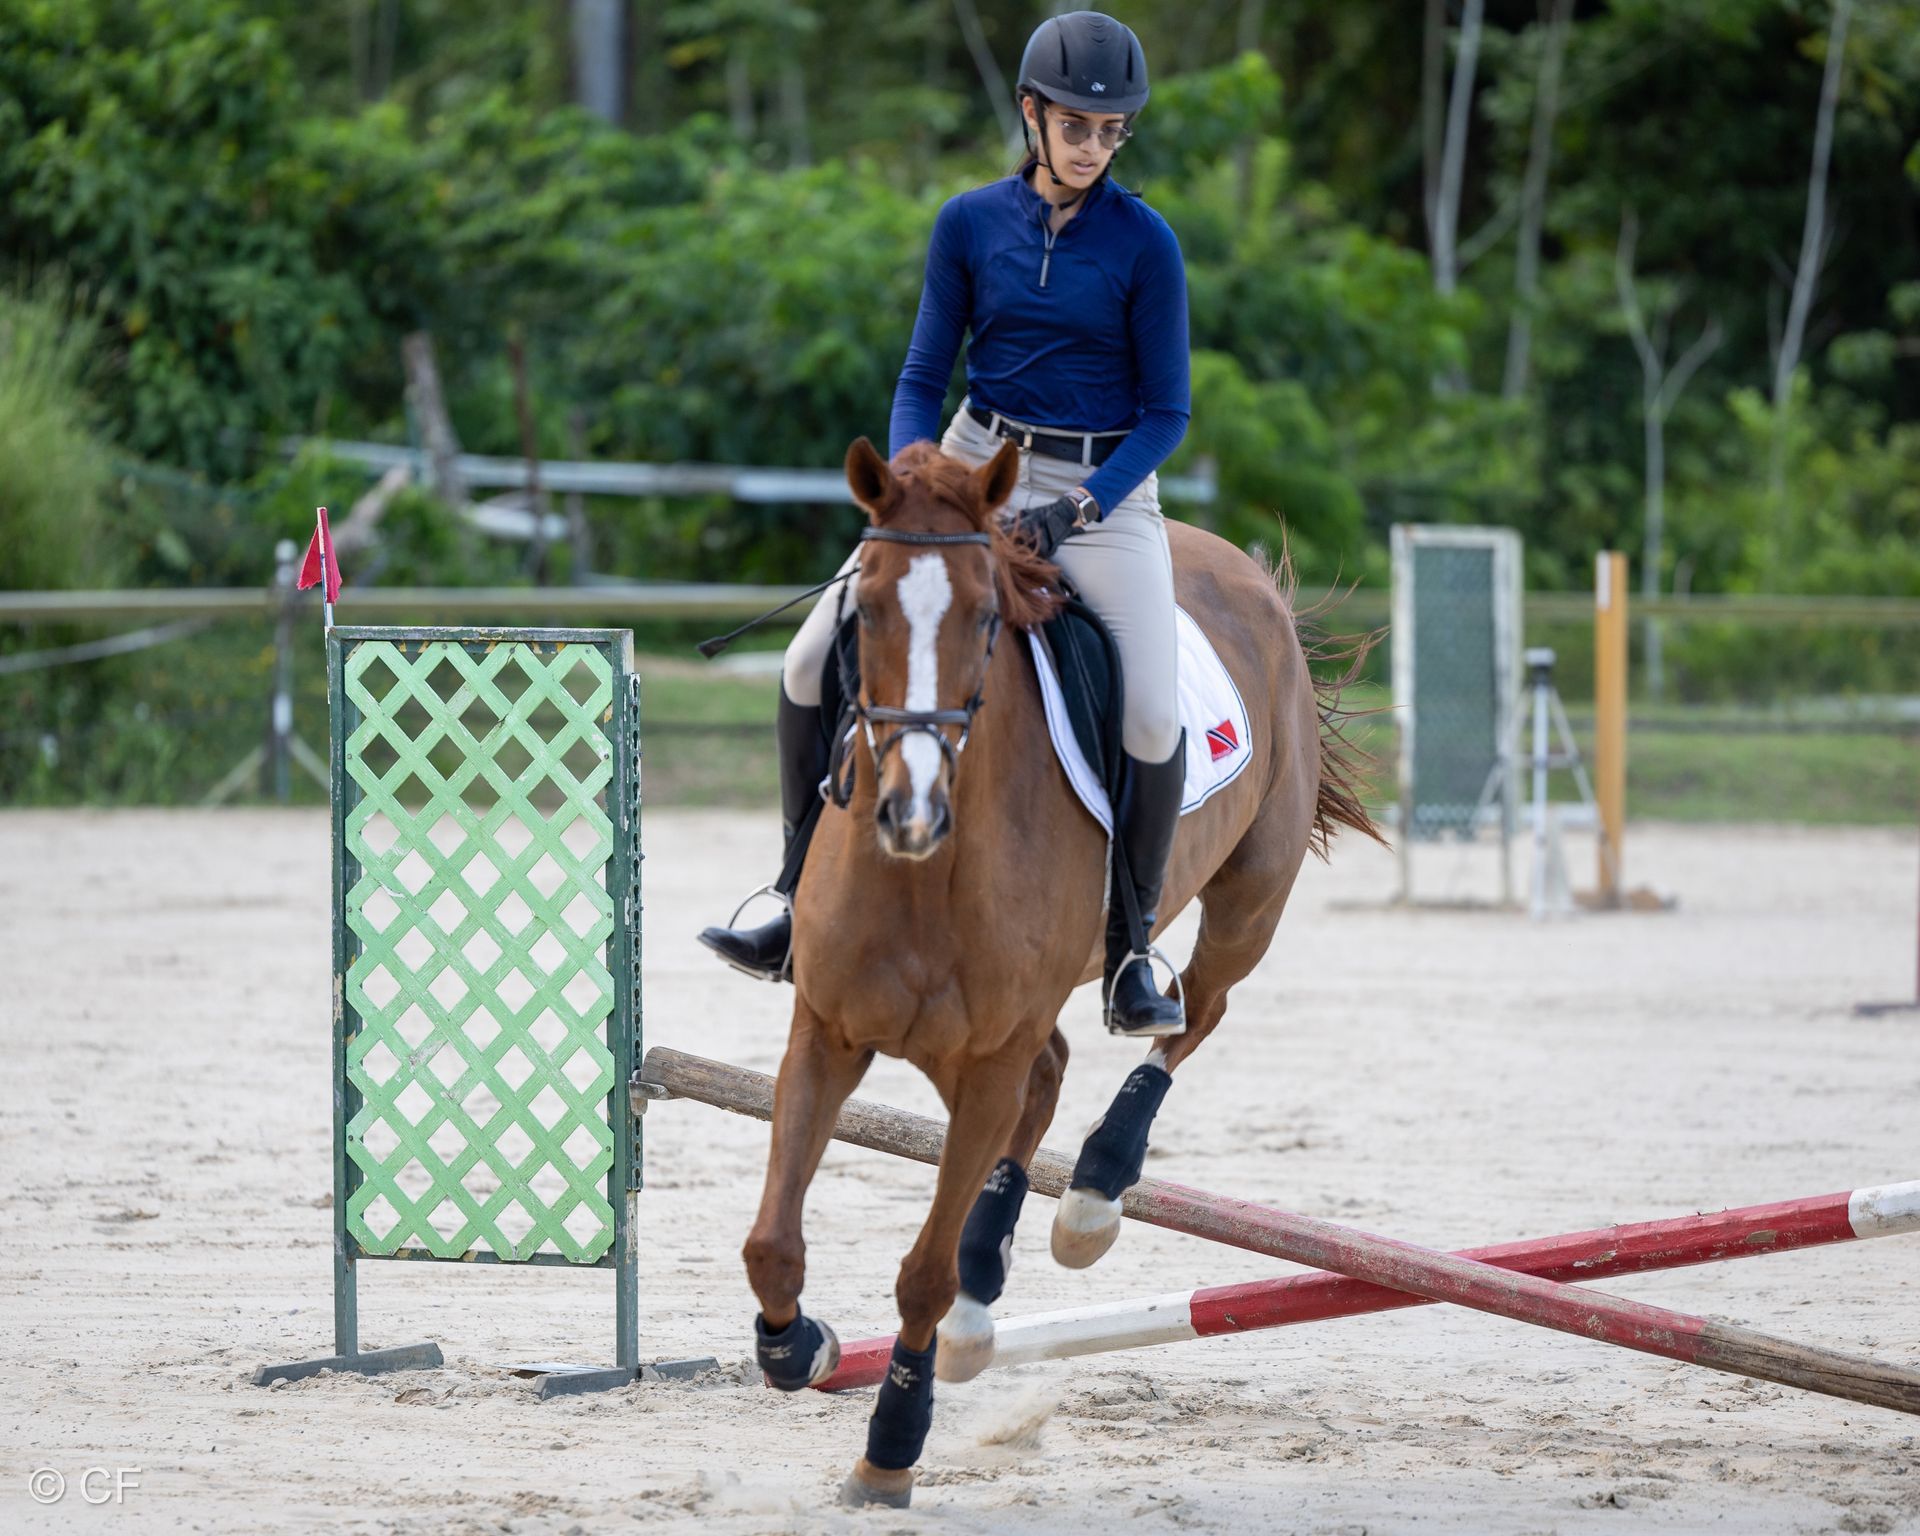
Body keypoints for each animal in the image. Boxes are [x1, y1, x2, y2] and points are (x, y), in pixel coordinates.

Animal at [741, 435, 1381, 1507]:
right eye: (862, 612)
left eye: (984, 617)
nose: (910, 810)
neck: (927, 870)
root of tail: (1252, 576)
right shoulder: (826, 1034)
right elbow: (772, 1244)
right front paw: (802, 1349)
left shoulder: (986, 1062)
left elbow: (920, 1272)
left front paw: (891, 1448)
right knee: (1055, 1075)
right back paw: (981, 1304)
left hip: (1248, 900)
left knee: (1187, 1017)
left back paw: (1091, 1197)